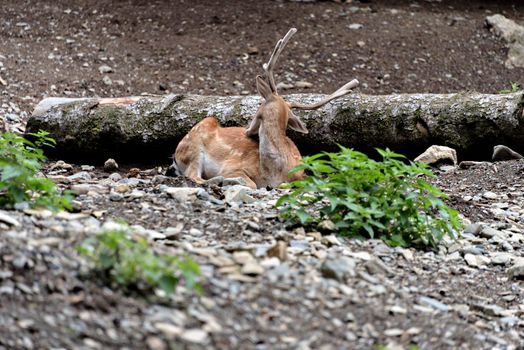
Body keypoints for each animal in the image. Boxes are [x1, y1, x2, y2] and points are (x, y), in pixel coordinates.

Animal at [172, 28, 360, 189]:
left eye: (258, 107)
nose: (246, 131)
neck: (274, 173)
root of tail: (175, 154)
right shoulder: (231, 167)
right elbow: (251, 183)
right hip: (194, 147)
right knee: (192, 175)